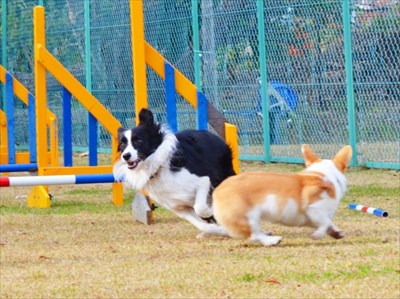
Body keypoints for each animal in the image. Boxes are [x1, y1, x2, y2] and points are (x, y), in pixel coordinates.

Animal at [214, 145, 352, 246]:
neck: (326, 175)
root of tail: (218, 190)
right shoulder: (314, 209)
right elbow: (324, 222)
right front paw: (317, 235)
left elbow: (329, 223)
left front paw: (337, 232)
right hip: (247, 217)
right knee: (253, 235)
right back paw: (272, 240)